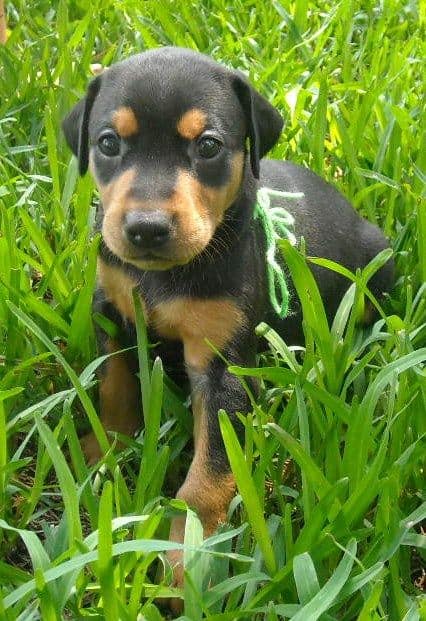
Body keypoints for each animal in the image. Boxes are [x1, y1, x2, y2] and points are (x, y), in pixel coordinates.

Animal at [62, 44, 392, 592]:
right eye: (108, 142)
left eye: (209, 145)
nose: (147, 229)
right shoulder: (110, 308)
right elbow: (115, 382)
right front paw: (107, 444)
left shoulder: (223, 367)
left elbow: (208, 476)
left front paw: (185, 567)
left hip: (377, 265)